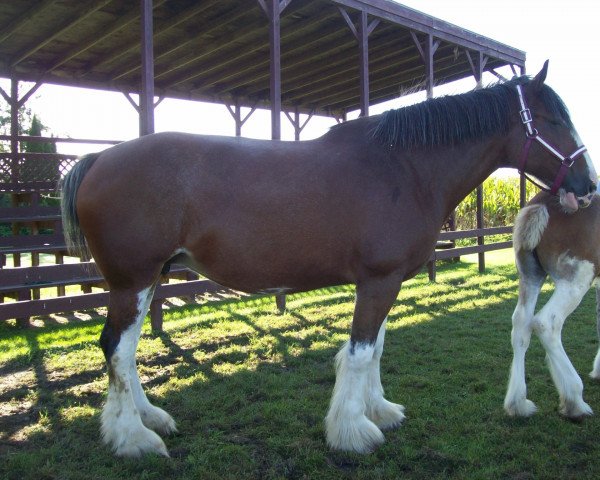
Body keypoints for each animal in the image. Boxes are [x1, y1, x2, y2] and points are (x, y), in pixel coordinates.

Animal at [504, 189, 600, 418]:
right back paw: (574, 400)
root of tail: (542, 205)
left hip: (530, 276)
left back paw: (518, 403)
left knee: (520, 324)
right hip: (574, 282)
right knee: (546, 323)